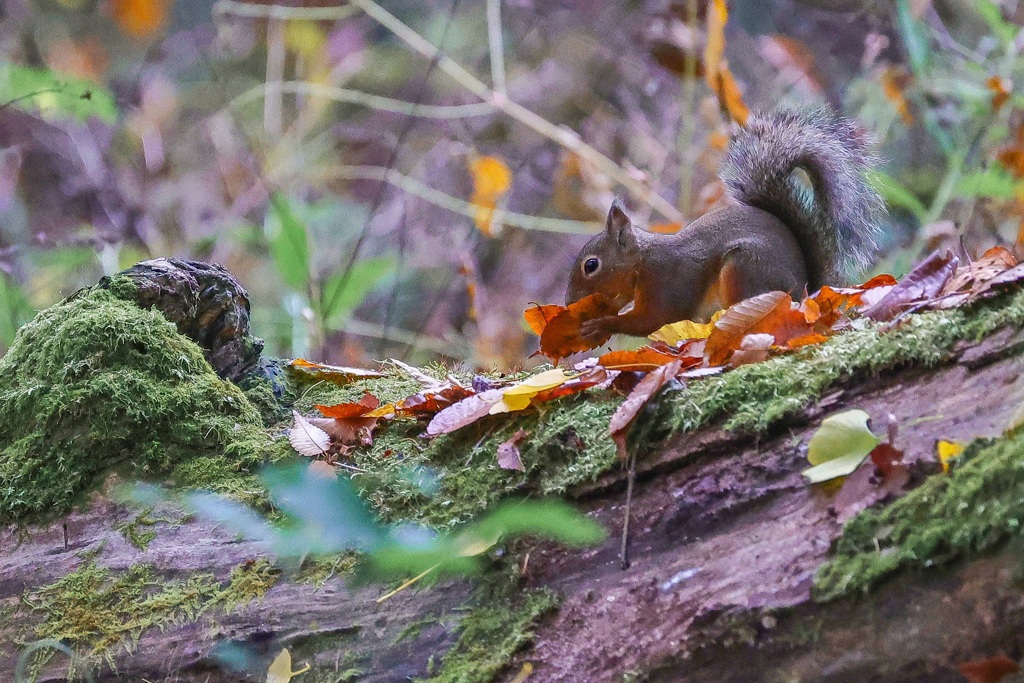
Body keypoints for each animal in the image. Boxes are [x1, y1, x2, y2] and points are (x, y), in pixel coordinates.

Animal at [565, 109, 884, 342]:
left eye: (591, 265)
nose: (568, 302)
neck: (643, 263)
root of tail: (806, 294)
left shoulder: (667, 284)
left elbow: (652, 321)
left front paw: (601, 325)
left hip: (744, 270)